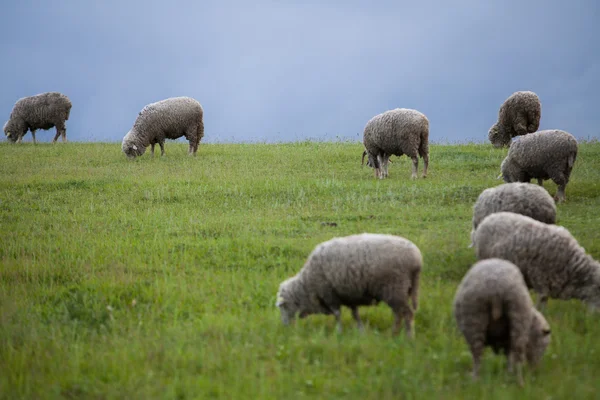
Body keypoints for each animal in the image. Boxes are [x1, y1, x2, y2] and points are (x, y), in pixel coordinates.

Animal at [276, 233, 422, 336]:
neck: (307, 285)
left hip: (395, 288)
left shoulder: (330, 294)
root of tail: (417, 260)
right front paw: (361, 331)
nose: (285, 328)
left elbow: (337, 315)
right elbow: (355, 315)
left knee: (407, 314)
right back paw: (394, 334)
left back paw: (408, 337)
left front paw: (339, 332)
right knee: (399, 314)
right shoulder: (350, 294)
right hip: (401, 291)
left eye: (283, 307)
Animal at [452, 258, 552, 386]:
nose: (535, 369)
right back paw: (520, 382)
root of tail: (495, 287)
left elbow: (508, 355)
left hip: (474, 318)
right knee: (518, 353)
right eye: (543, 345)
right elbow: (511, 356)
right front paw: (509, 373)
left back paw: (476, 380)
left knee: (477, 355)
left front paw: (507, 373)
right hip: (518, 314)